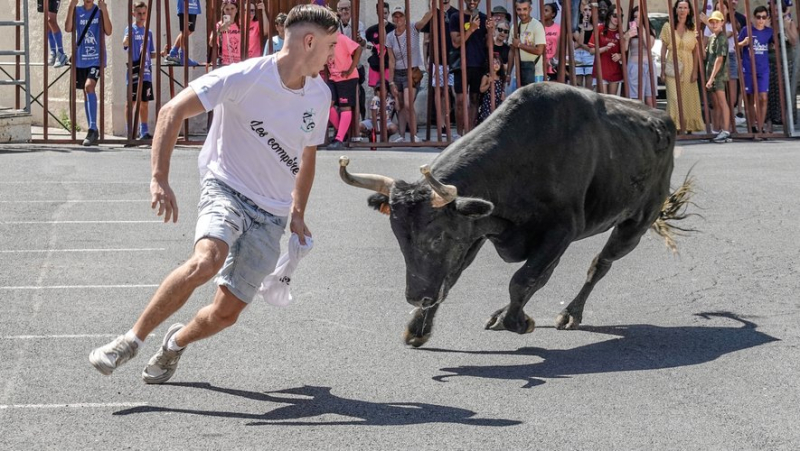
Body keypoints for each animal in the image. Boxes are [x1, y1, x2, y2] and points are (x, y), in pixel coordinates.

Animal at [340, 83, 692, 348]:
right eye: (400, 238)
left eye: (437, 237)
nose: (415, 297)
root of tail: (662, 117)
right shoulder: (475, 231)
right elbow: (451, 278)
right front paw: (418, 327)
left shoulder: (561, 230)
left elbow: (521, 280)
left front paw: (520, 322)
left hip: (636, 223)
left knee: (599, 265)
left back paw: (570, 314)